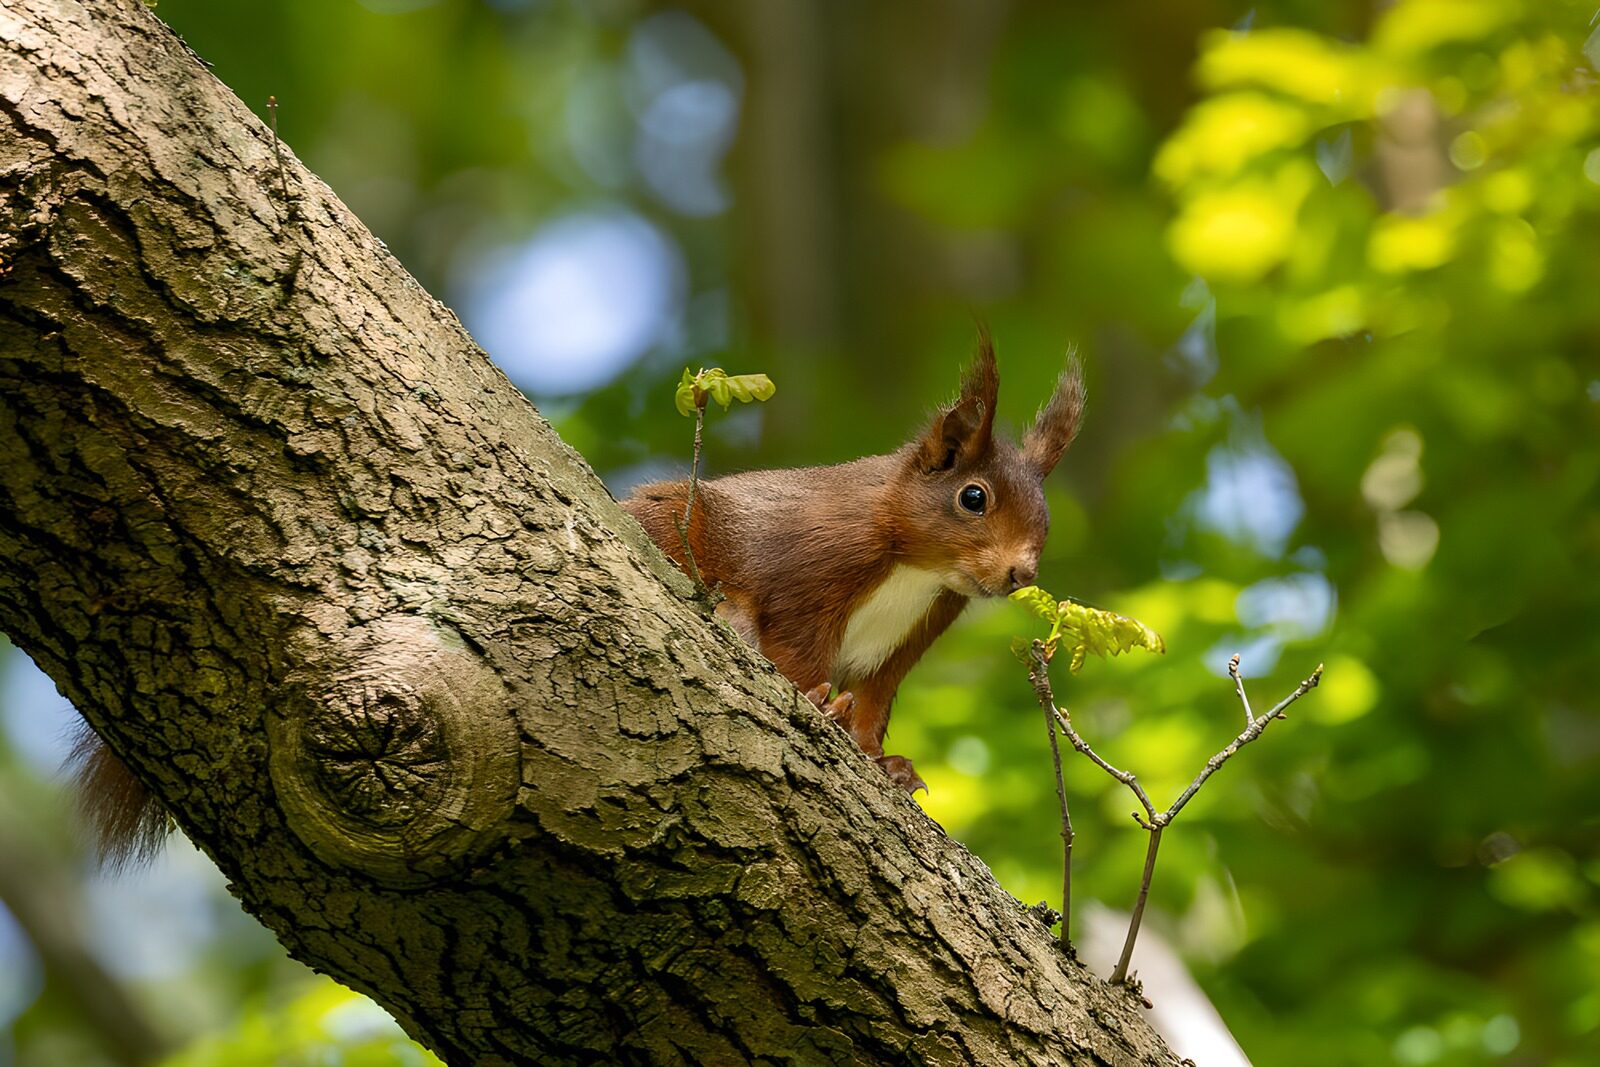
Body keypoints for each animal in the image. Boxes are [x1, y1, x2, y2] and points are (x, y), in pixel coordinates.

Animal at [623, 335, 1083, 791]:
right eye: (973, 497)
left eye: (1045, 518)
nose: (1021, 574)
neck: (915, 568)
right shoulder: (810, 572)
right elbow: (796, 652)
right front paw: (818, 702)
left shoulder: (912, 633)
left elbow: (872, 700)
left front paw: (884, 761)